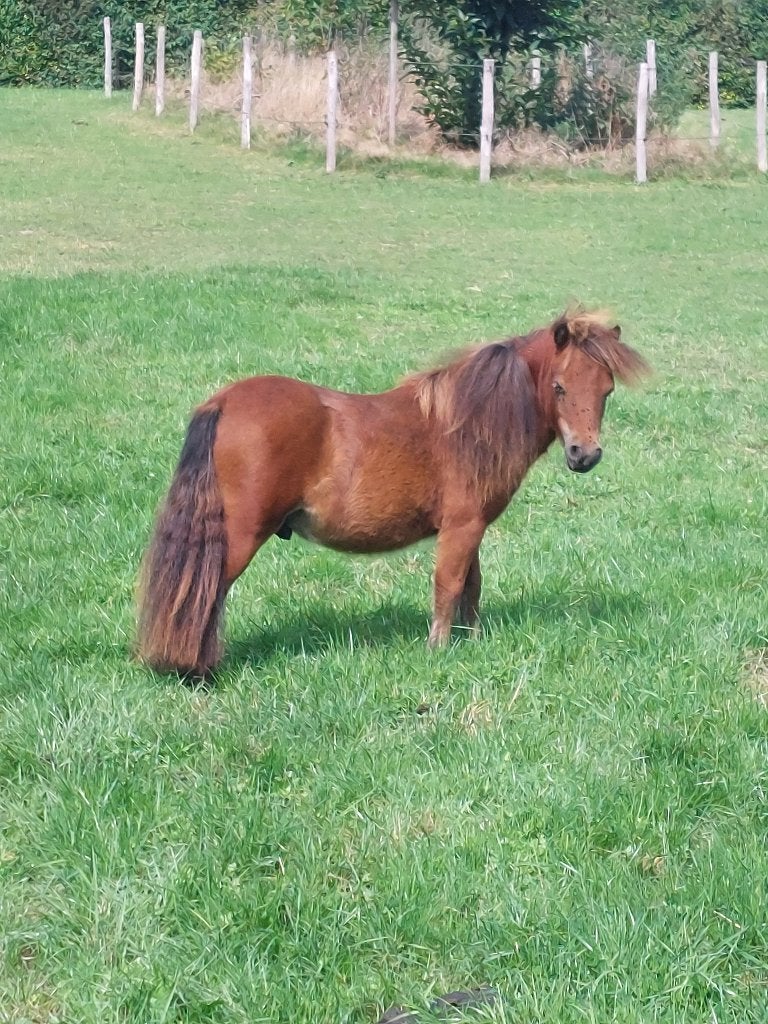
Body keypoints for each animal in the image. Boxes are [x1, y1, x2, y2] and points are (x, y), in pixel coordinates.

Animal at [136, 309, 650, 676]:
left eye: (606, 390)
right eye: (559, 387)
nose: (585, 455)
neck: (471, 423)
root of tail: (222, 402)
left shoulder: (471, 528)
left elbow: (472, 587)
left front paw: (472, 642)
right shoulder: (461, 527)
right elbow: (448, 586)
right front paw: (438, 651)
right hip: (239, 538)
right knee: (206, 593)